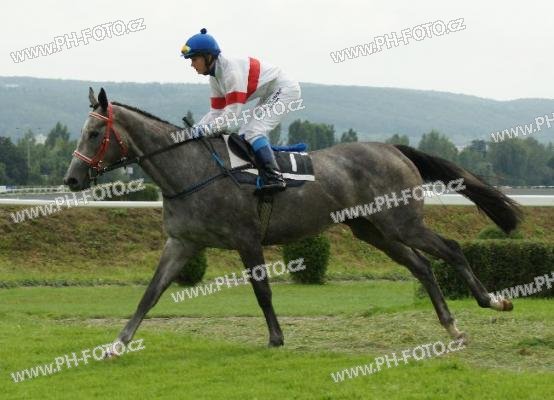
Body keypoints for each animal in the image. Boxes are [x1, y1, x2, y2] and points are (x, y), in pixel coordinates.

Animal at [64, 88, 522, 352]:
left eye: (94, 133)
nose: (71, 179)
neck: (193, 171)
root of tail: (393, 149)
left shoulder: (246, 239)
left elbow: (262, 292)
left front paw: (276, 338)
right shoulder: (182, 243)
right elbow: (150, 294)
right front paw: (117, 343)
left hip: (401, 223)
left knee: (451, 250)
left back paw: (492, 301)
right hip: (374, 231)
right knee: (423, 266)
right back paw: (452, 327)